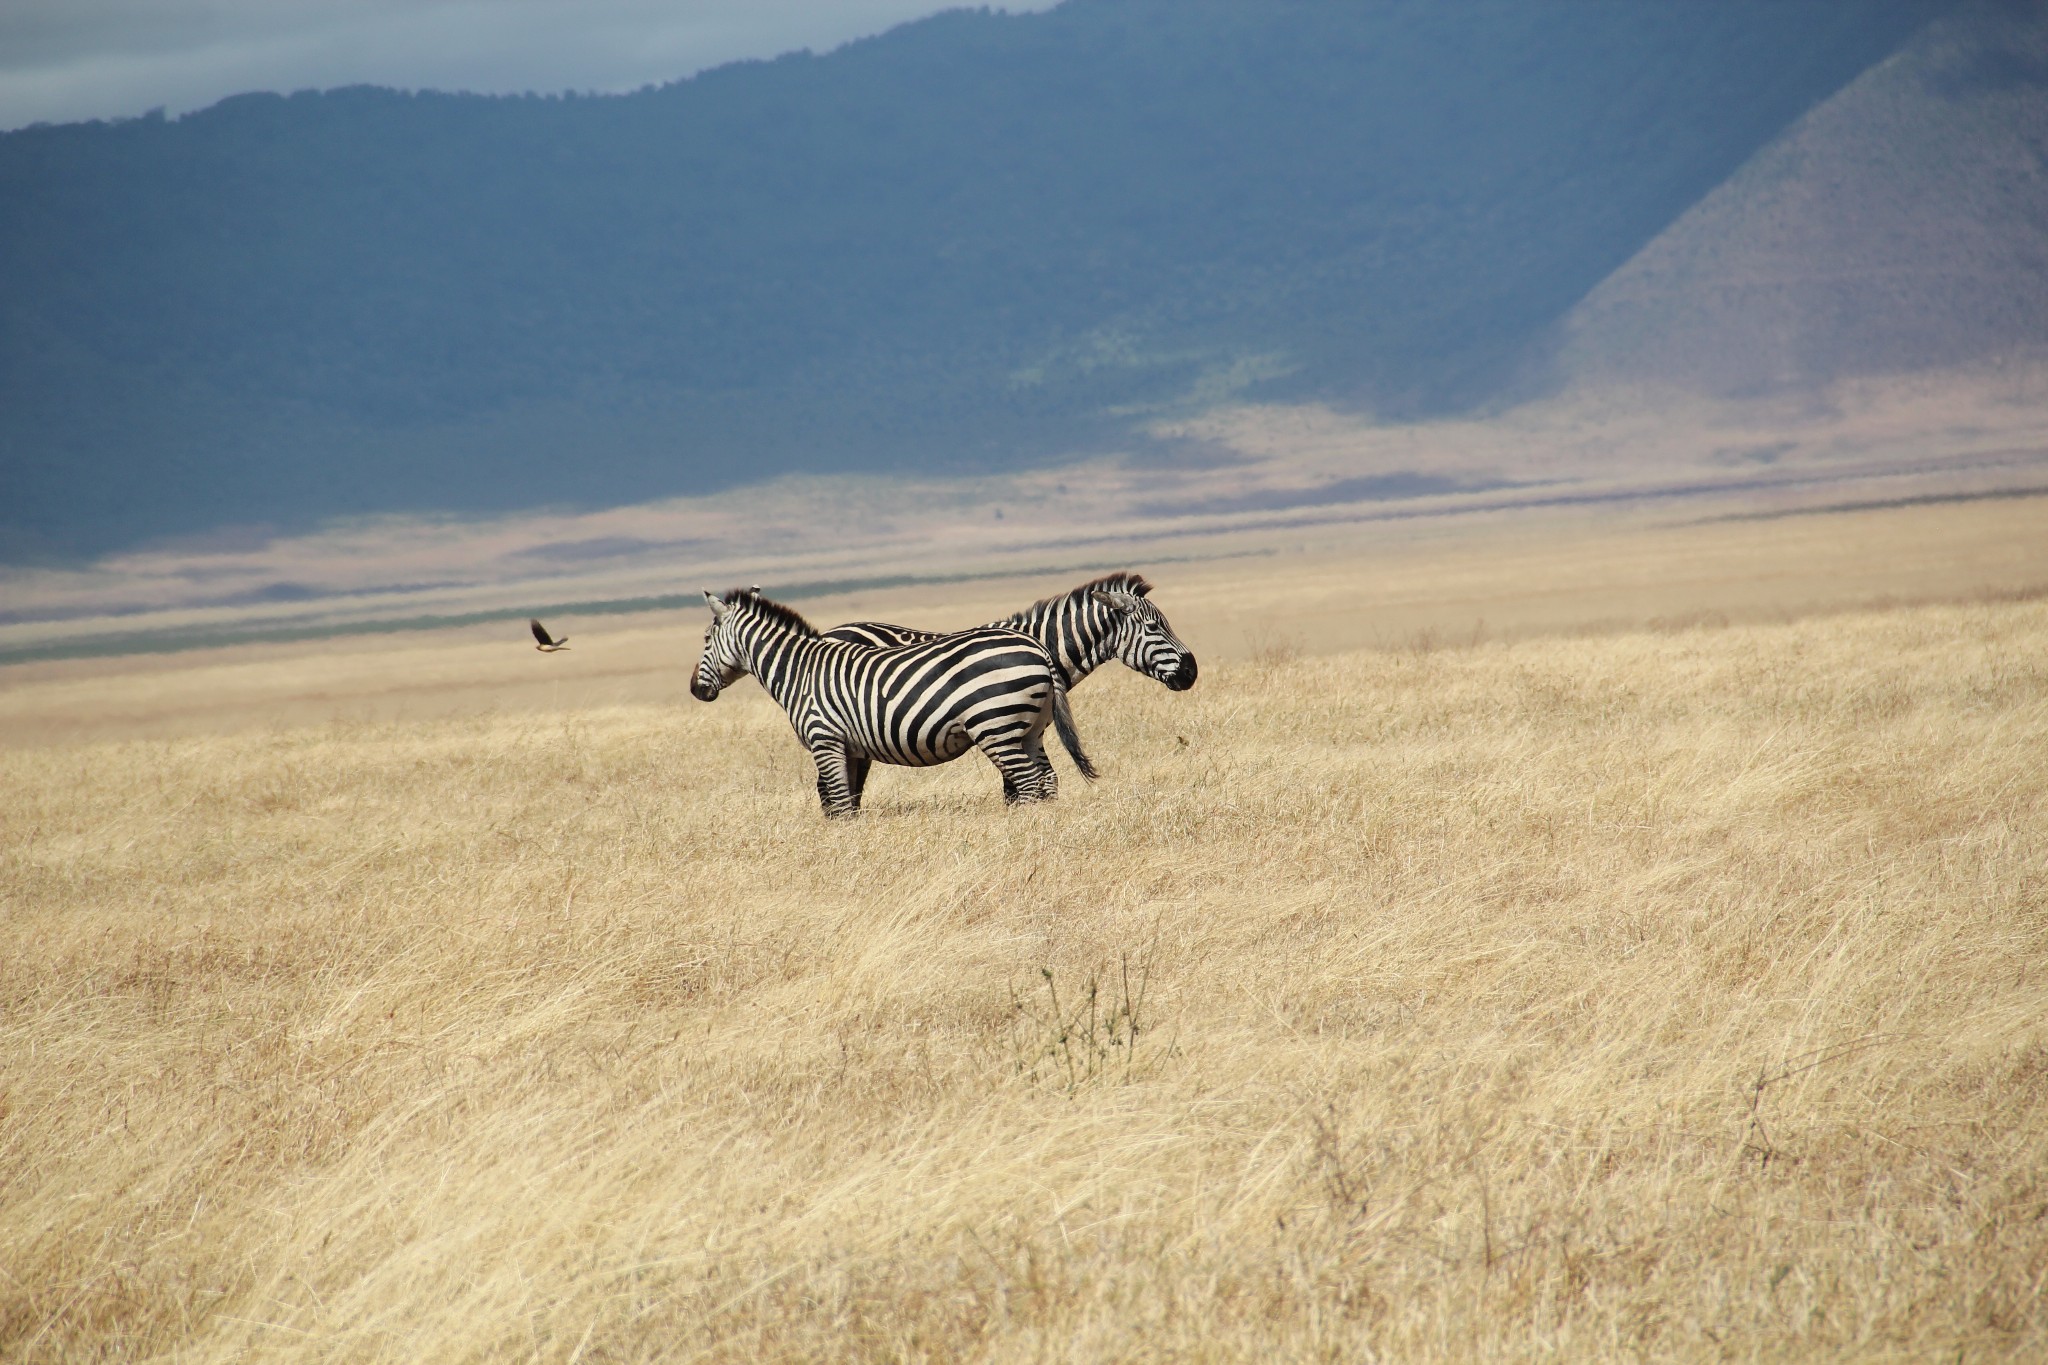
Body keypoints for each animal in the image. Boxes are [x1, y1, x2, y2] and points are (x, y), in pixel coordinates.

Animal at [688, 589, 1089, 822]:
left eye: (706, 638)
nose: (695, 690)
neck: (799, 671)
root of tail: (1036, 646)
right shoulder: (849, 748)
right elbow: (845, 803)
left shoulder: (825, 740)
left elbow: (839, 802)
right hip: (1029, 729)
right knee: (1044, 780)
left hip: (995, 726)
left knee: (1028, 784)